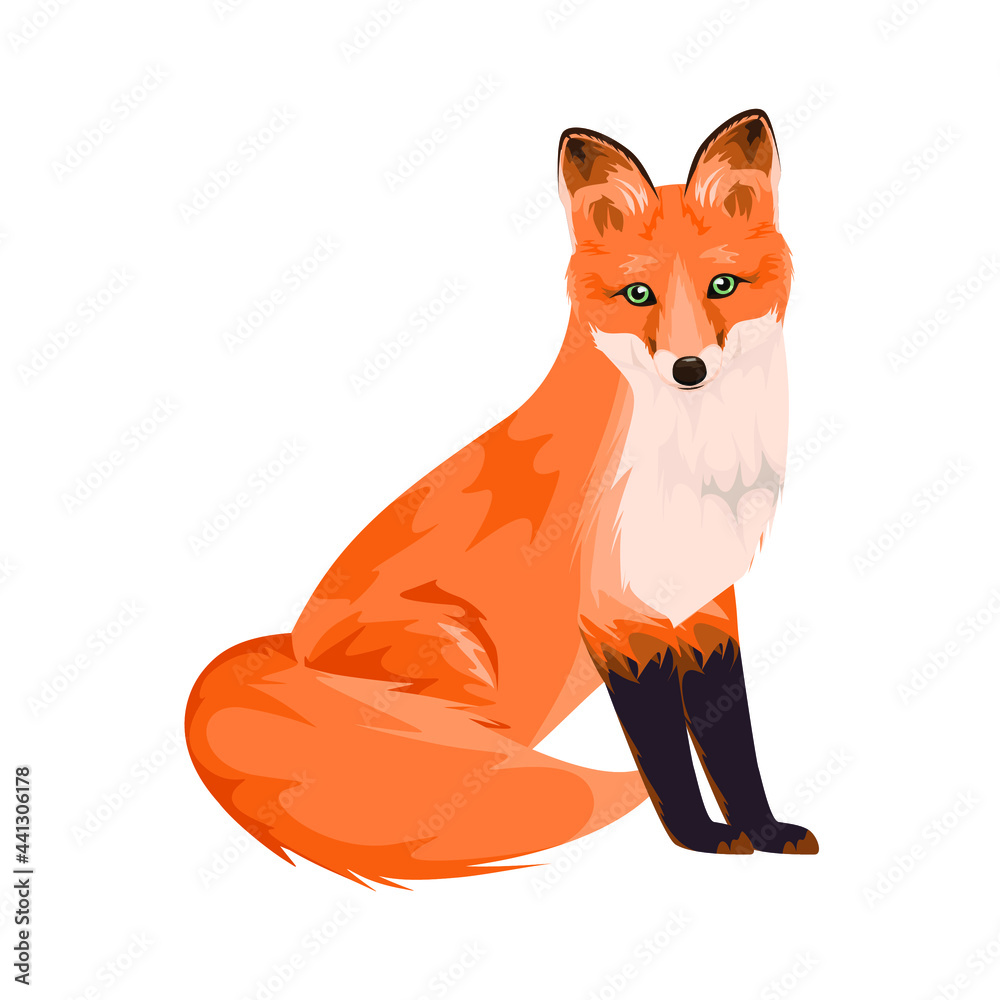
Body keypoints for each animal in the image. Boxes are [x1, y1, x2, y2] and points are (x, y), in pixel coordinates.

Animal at [185, 109, 817, 888]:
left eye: (723, 285)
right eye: (639, 296)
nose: (690, 368)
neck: (693, 465)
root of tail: (288, 646)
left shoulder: (704, 607)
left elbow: (734, 745)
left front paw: (763, 830)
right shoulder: (615, 617)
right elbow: (666, 755)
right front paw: (699, 837)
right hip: (457, 659)